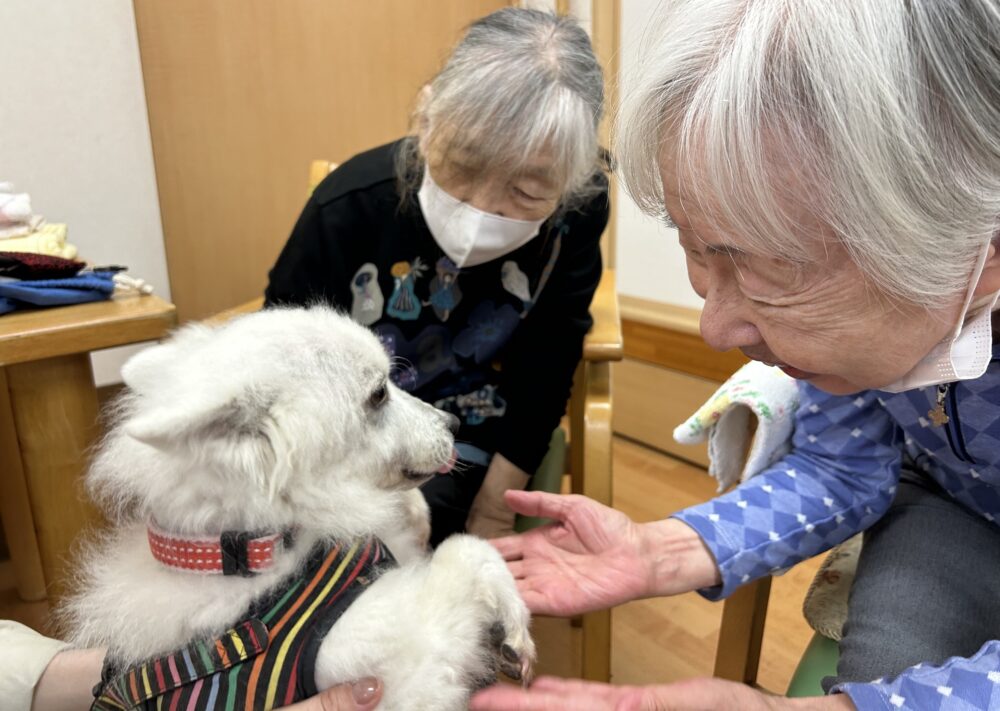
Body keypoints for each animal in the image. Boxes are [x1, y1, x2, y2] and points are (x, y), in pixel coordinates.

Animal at [60, 308, 532, 711]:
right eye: (379, 393)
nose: (454, 424)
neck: (258, 547)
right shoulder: (403, 673)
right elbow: (466, 550)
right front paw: (516, 629)